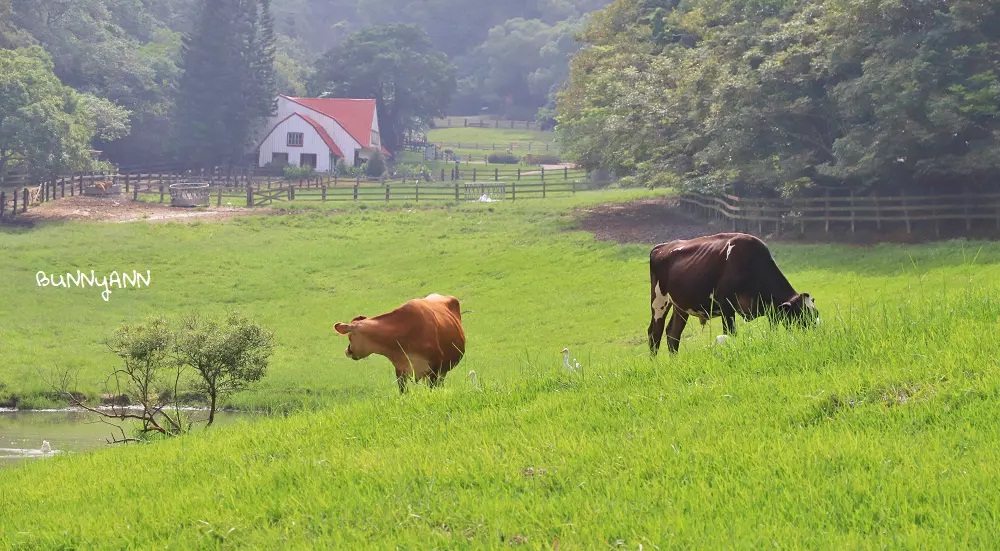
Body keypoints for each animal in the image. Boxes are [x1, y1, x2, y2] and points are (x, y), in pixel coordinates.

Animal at [648, 232, 820, 354]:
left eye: (815, 314)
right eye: (800, 315)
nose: (814, 337)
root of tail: (662, 247)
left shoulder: (772, 311)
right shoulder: (726, 306)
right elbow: (730, 334)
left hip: (681, 305)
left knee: (673, 334)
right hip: (659, 300)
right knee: (654, 333)